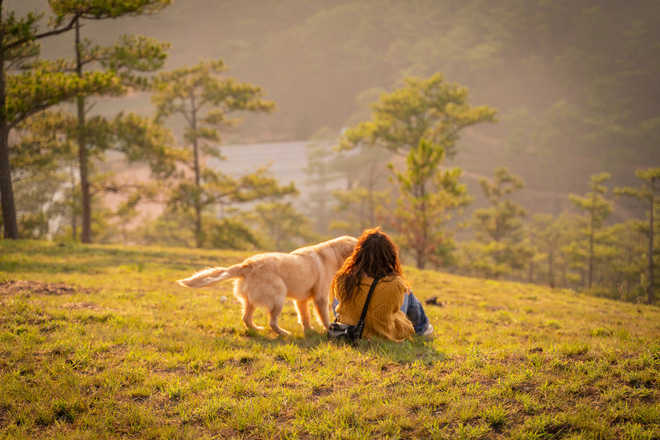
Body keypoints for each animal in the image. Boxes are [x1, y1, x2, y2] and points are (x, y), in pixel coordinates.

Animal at [177, 237, 356, 334]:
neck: (332, 255)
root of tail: (248, 264)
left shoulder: (301, 300)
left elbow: (304, 317)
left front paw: (309, 331)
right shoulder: (320, 297)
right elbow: (324, 316)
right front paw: (327, 328)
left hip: (251, 301)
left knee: (246, 318)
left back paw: (257, 329)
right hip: (279, 295)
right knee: (272, 322)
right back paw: (284, 333)